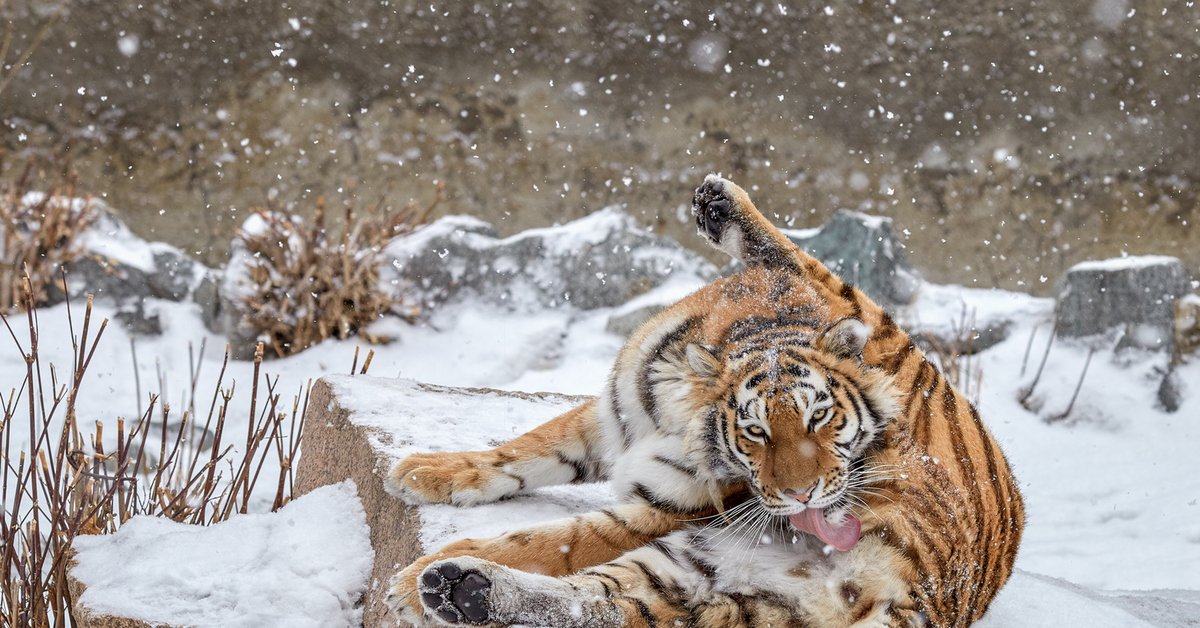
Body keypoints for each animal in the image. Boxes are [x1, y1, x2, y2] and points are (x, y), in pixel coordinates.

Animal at [381, 174, 1022, 628]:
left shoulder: (664, 510)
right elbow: (525, 449)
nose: (805, 496)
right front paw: (426, 471)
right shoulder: (612, 416)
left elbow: (554, 540)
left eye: (821, 418)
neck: (678, 409)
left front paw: (408, 581)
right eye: (756, 431)